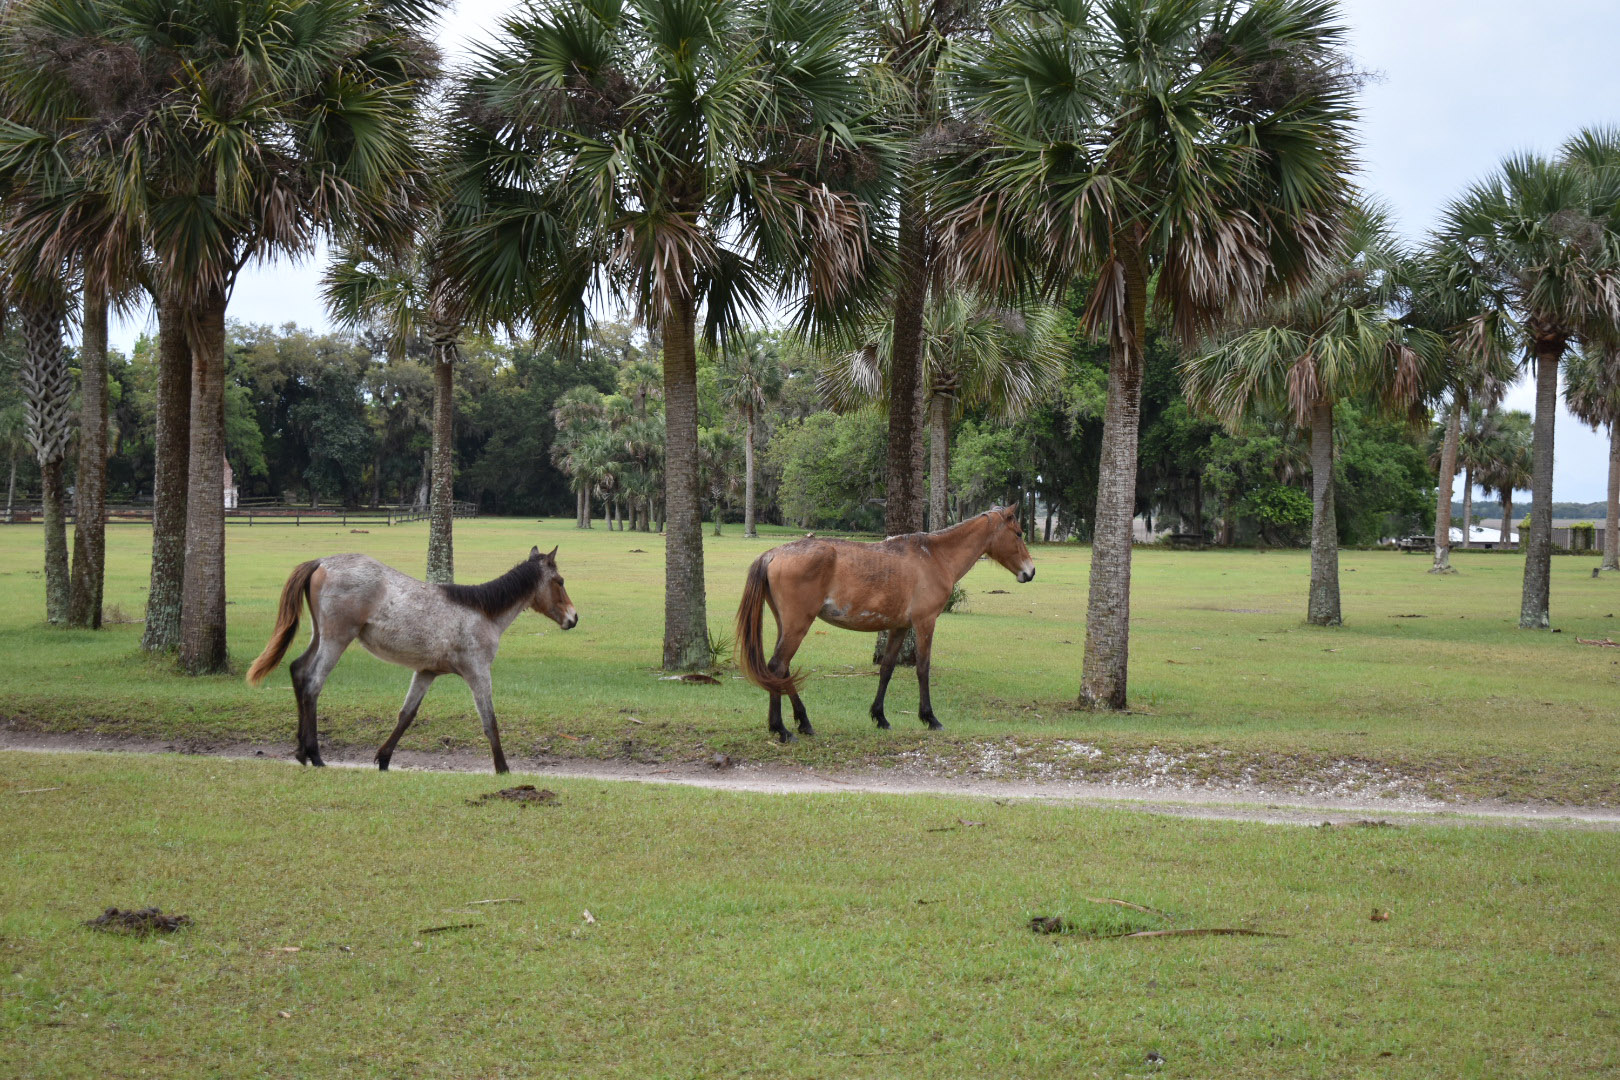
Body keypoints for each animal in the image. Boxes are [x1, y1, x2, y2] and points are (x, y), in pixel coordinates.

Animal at [243, 553, 579, 773]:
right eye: (560, 581)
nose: (573, 618)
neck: (482, 612)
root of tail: (322, 562)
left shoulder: (426, 672)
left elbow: (406, 715)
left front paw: (383, 759)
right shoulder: (478, 672)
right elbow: (490, 720)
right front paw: (503, 768)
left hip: (320, 635)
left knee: (298, 671)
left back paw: (301, 751)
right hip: (337, 639)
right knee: (313, 683)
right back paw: (315, 755)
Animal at [738, 508, 1036, 744]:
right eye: (1019, 533)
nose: (1030, 571)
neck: (935, 556)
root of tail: (773, 554)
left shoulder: (899, 627)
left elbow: (887, 669)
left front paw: (880, 716)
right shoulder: (925, 623)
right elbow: (923, 668)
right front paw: (930, 718)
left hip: (787, 625)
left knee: (783, 669)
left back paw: (804, 722)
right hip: (798, 625)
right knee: (777, 666)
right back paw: (781, 729)